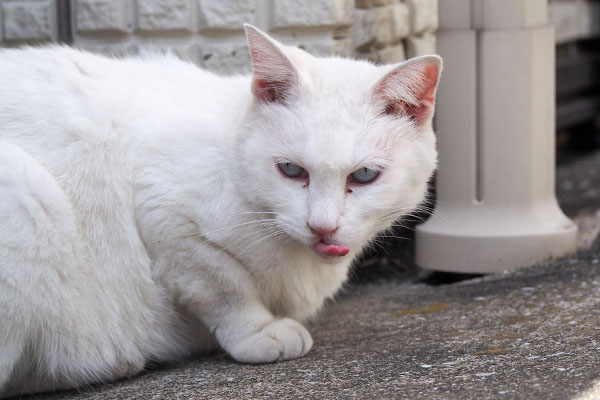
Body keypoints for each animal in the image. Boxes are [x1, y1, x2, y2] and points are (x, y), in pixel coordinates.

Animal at [0, 25, 440, 396]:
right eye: (291, 170)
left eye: (364, 175)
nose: (322, 227)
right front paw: (258, 332)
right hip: (27, 197)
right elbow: (226, 287)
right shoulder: (164, 217)